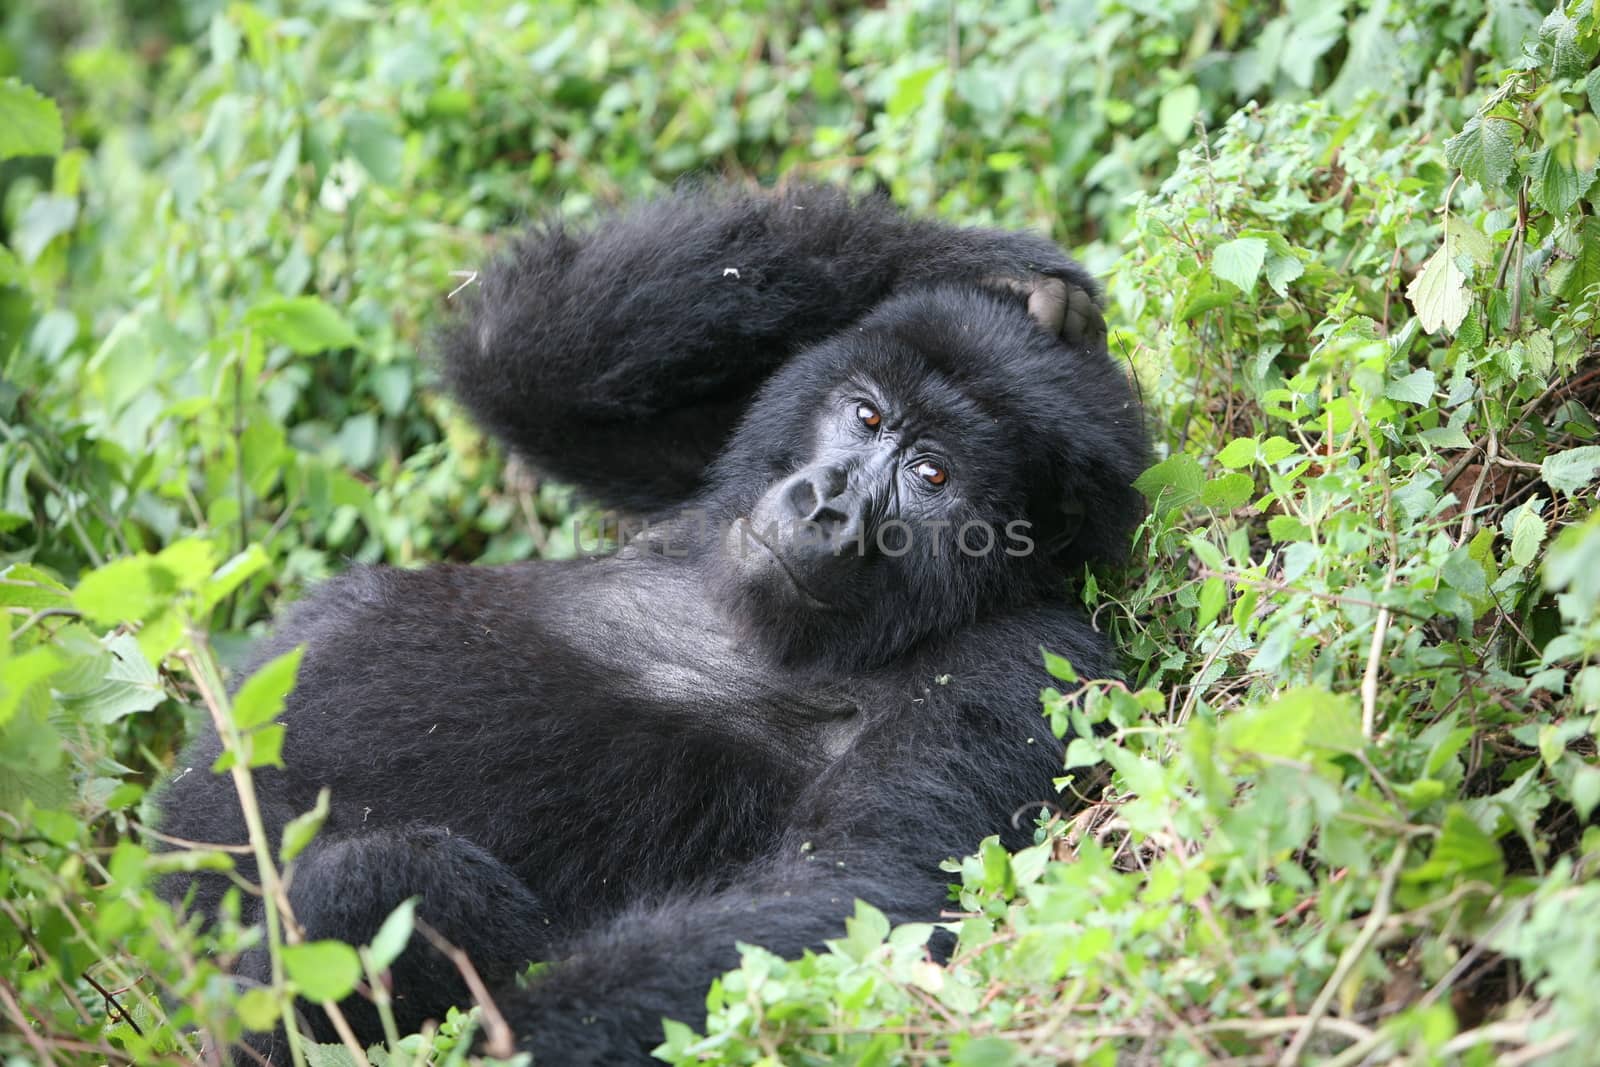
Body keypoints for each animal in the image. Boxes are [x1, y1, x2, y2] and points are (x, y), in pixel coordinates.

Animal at [152, 187, 1152, 1062]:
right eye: (865, 415)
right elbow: (521, 357)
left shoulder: (1026, 661)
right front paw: (986, 266)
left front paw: (508, 1046)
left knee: (376, 889)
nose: (828, 503)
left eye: (932, 476)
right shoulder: (706, 462)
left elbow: (857, 890)